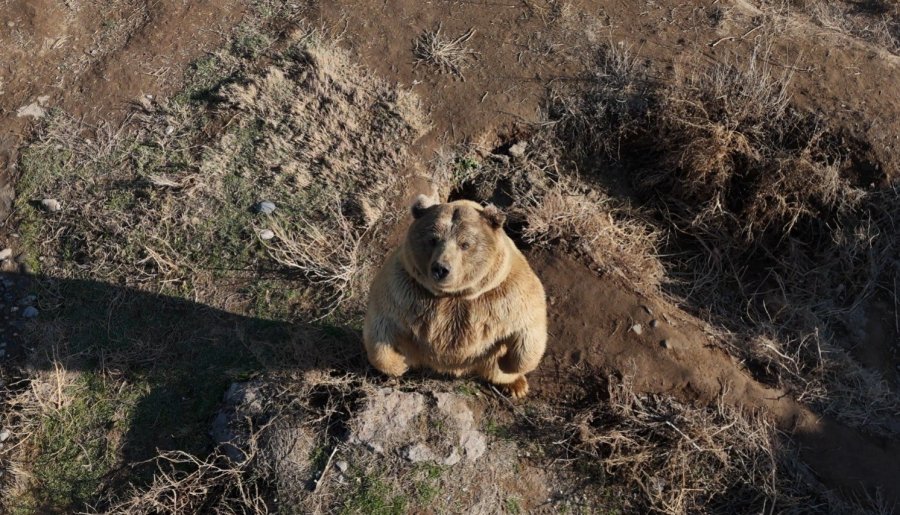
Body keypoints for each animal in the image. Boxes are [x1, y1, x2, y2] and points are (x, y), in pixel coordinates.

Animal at [360, 195, 544, 400]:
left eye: (465, 244)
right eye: (433, 239)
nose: (441, 268)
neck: (455, 294)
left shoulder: (503, 293)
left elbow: (529, 327)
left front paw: (509, 365)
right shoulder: (403, 289)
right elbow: (380, 326)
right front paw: (398, 364)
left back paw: (516, 385)